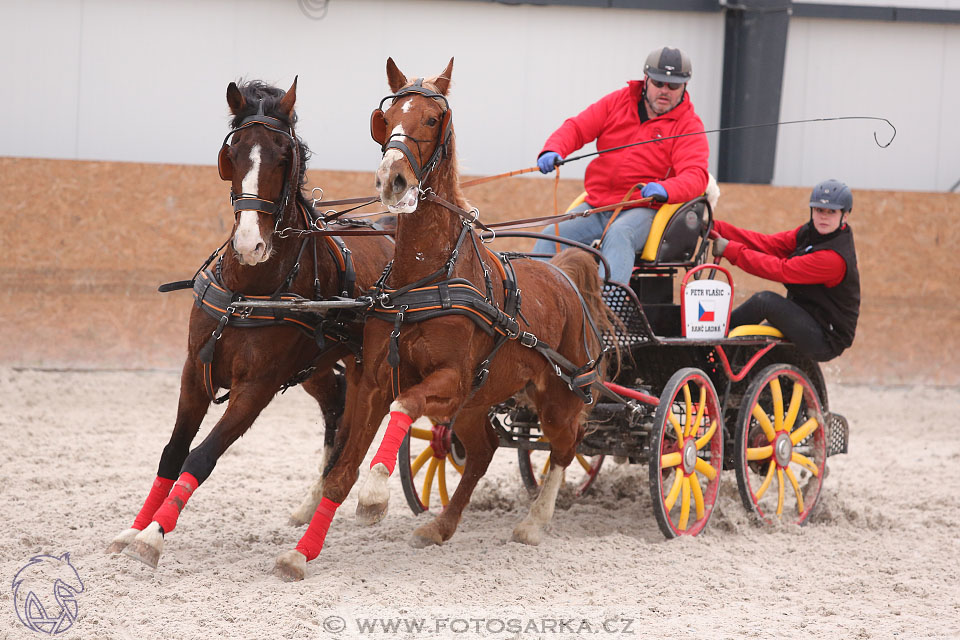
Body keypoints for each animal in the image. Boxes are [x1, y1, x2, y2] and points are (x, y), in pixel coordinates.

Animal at [111, 77, 394, 568]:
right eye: (234, 151)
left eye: (284, 155)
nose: (250, 244)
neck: (249, 289)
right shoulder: (195, 371)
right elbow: (172, 453)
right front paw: (133, 530)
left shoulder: (256, 388)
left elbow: (200, 458)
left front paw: (153, 537)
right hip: (317, 366)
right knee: (337, 407)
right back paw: (310, 503)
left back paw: (371, 494)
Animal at [272, 58, 616, 580]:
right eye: (387, 117)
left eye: (433, 119)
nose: (391, 179)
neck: (426, 276)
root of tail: (563, 272)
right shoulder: (373, 381)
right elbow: (340, 472)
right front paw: (300, 553)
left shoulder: (449, 382)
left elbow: (403, 407)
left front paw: (375, 497)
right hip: (480, 402)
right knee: (484, 450)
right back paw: (440, 527)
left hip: (556, 395)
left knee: (564, 446)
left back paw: (533, 525)